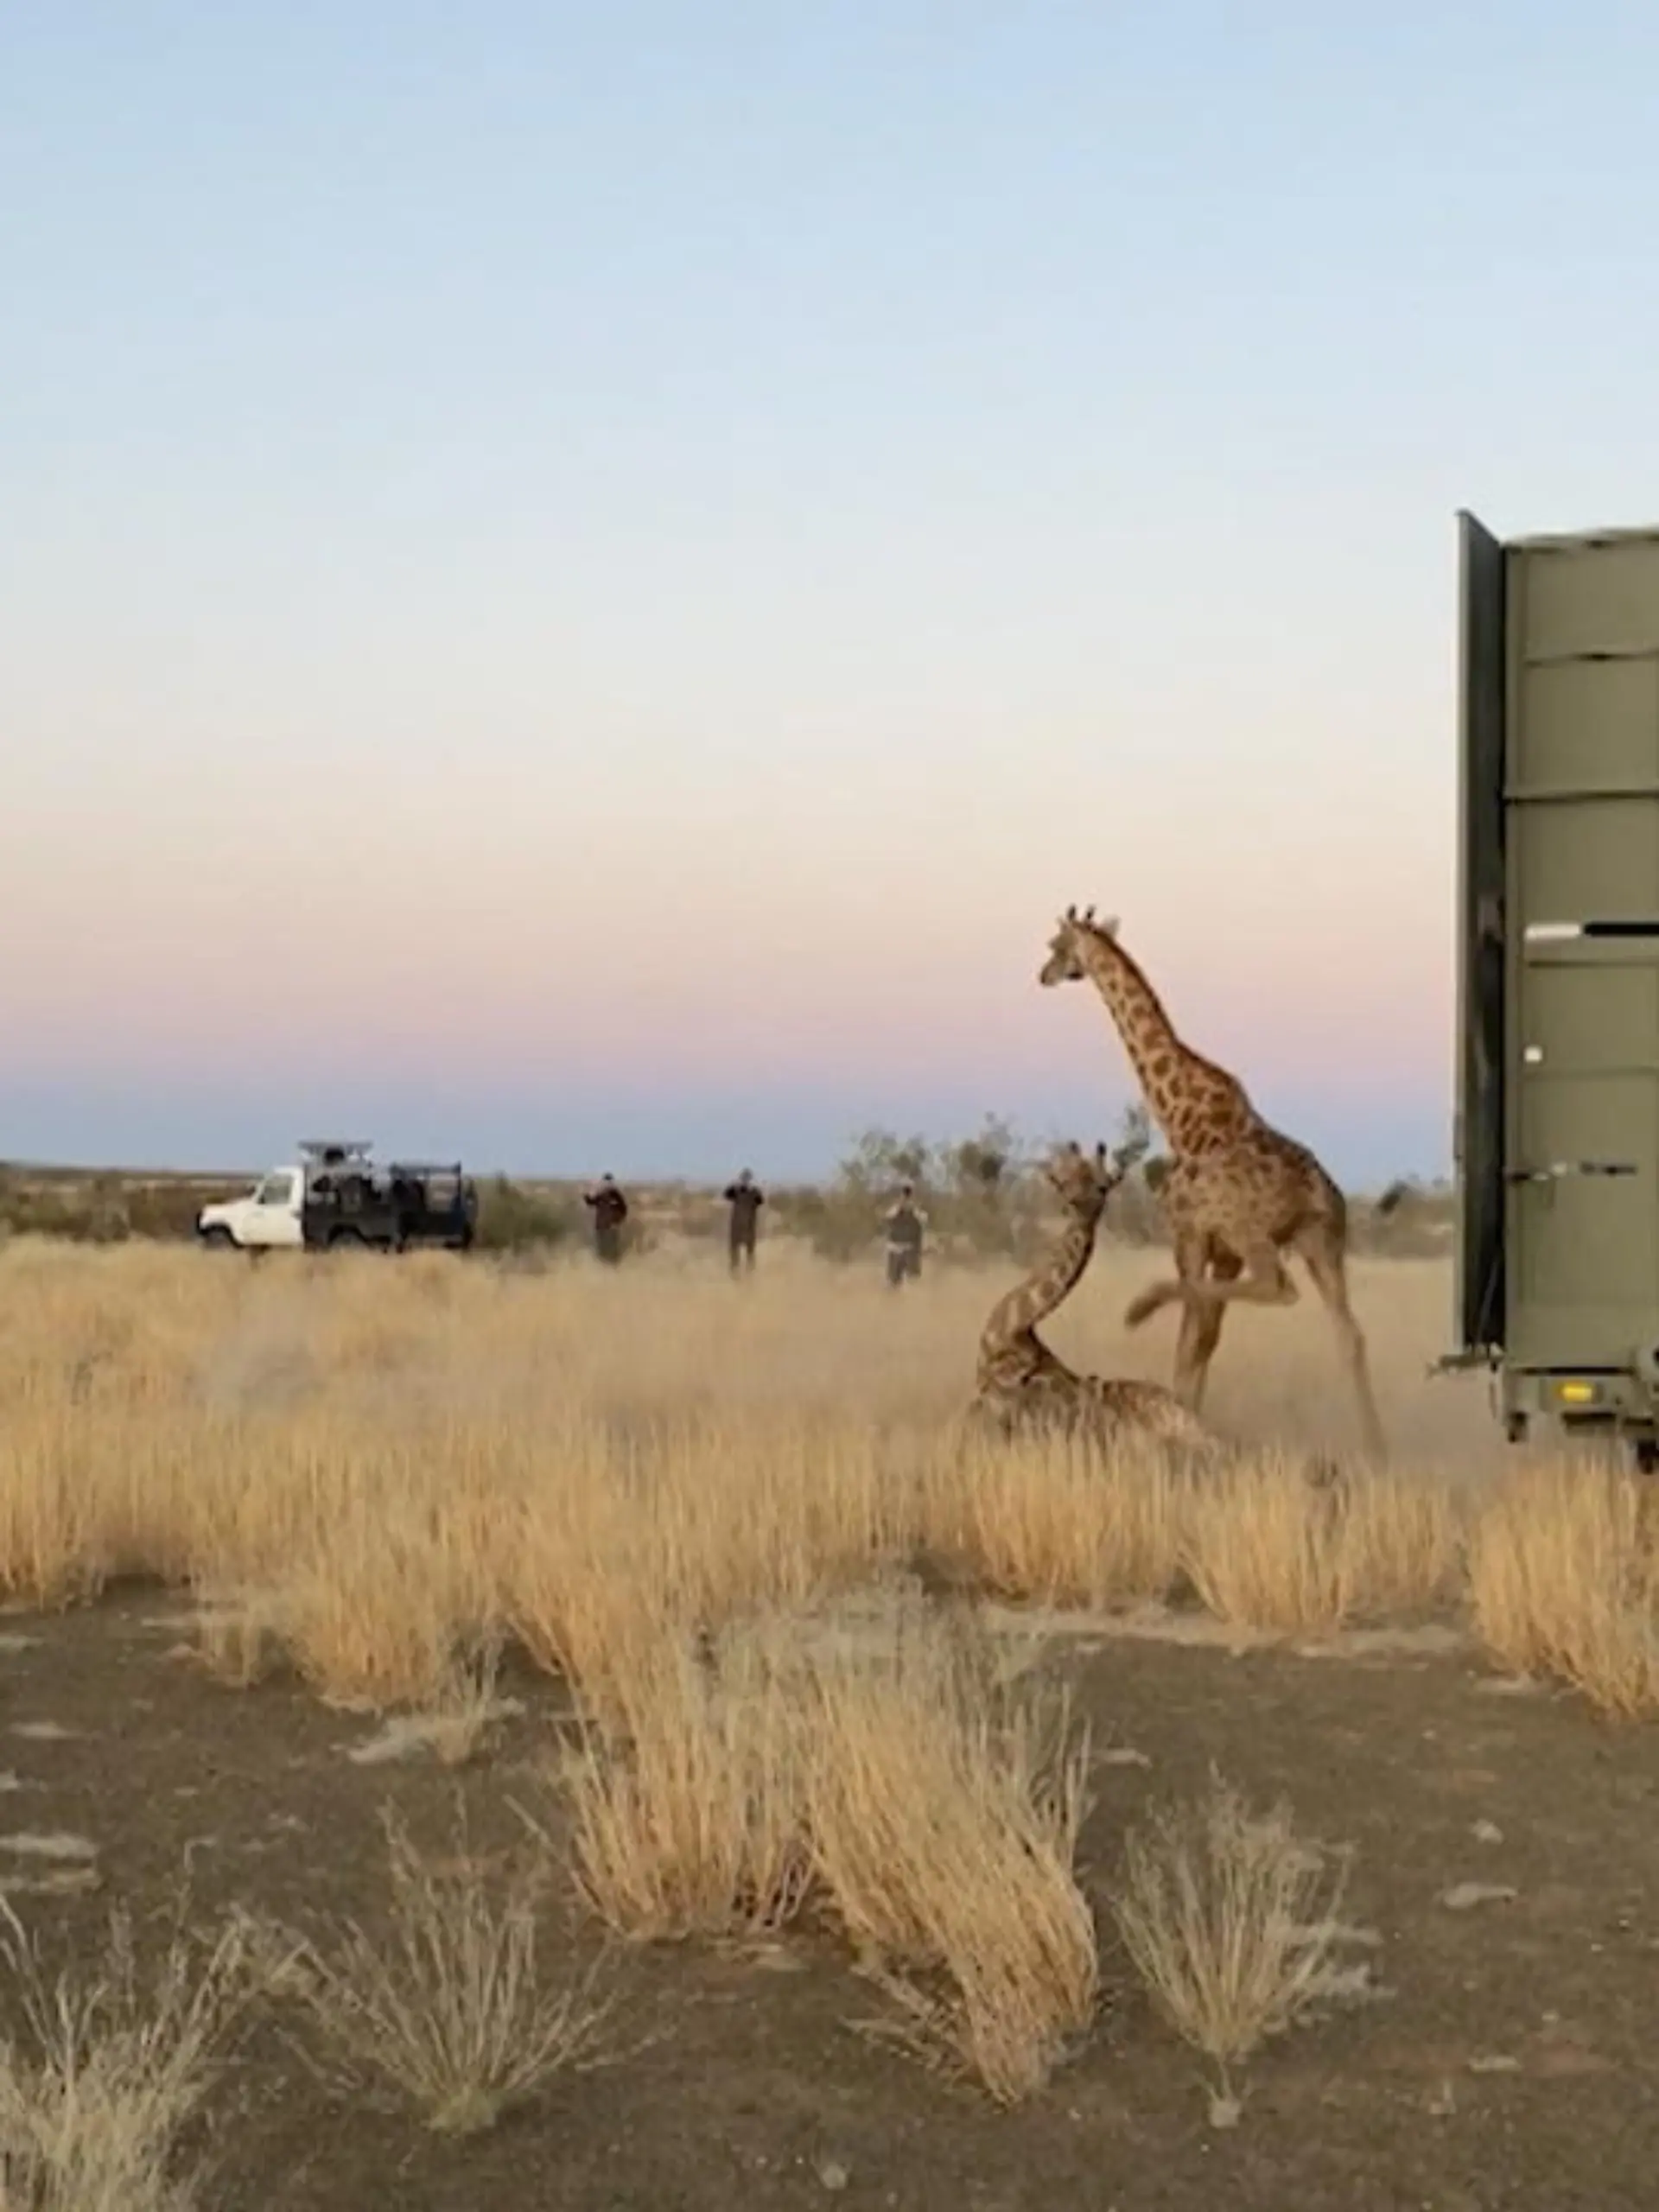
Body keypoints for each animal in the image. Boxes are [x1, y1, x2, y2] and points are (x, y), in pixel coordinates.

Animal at [1036, 904, 1386, 1462]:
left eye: (1056, 944)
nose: (1044, 974)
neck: (1179, 1117)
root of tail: (1320, 1194)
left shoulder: (1193, 1233)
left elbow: (1189, 1339)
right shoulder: (1225, 1253)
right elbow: (1205, 1340)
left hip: (1259, 1237)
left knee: (1280, 1289)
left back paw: (1142, 1305)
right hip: (1323, 1242)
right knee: (1349, 1335)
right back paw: (1377, 1449)